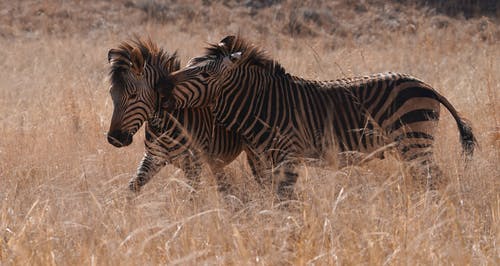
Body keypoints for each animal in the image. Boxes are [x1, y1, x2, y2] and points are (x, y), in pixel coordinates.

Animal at [106, 38, 258, 193]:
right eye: (111, 93)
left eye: (133, 95)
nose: (114, 139)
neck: (162, 126)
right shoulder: (153, 158)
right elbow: (132, 187)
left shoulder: (193, 165)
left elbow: (192, 196)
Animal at [156, 34, 476, 197]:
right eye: (188, 63)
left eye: (205, 74)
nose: (161, 86)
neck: (260, 104)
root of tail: (427, 85)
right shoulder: (262, 158)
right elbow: (271, 197)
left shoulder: (287, 155)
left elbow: (284, 198)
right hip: (412, 144)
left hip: (414, 139)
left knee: (435, 180)